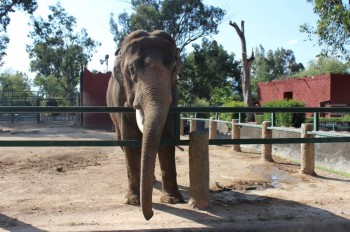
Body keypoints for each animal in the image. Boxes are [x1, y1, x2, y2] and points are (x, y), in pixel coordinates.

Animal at [106, 29, 183, 220]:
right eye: (131, 70)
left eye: (174, 70)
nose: (151, 215)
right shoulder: (121, 100)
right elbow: (131, 141)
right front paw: (133, 201)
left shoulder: (174, 96)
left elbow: (166, 138)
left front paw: (172, 200)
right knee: (122, 141)